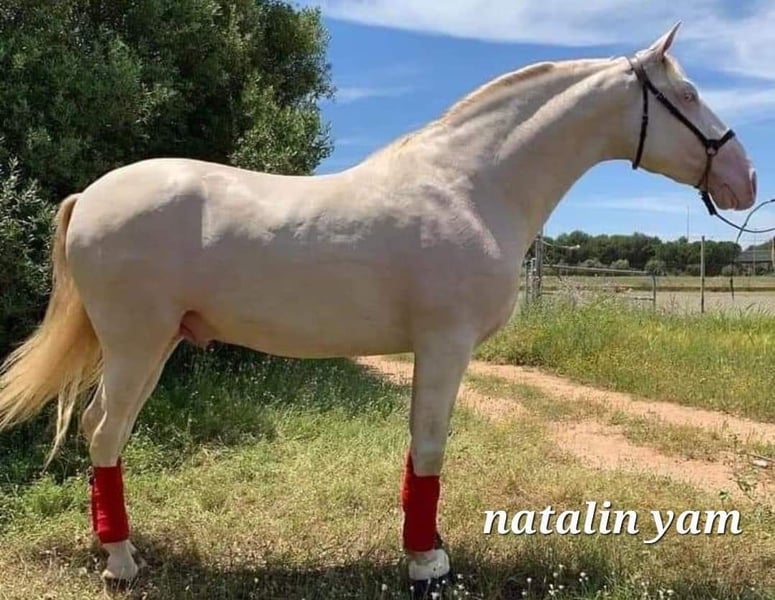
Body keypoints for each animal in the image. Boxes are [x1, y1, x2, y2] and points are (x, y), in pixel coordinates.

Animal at [0, 22, 757, 595]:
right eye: (687, 93)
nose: (744, 179)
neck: (471, 184)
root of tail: (90, 196)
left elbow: (421, 450)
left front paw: (429, 548)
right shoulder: (445, 343)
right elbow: (429, 447)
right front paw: (426, 565)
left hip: (152, 345)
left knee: (100, 429)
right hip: (136, 343)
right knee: (105, 432)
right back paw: (122, 564)